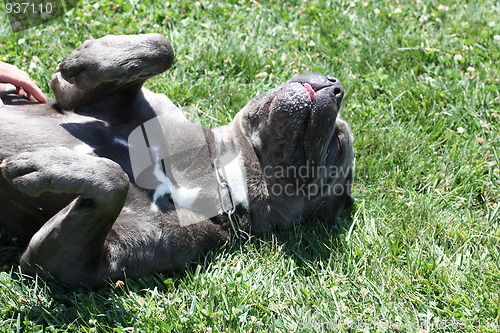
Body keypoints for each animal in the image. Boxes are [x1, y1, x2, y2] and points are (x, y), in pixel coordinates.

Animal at [0, 34, 354, 288]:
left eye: (337, 143)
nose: (337, 85)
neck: (218, 172)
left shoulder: (72, 263)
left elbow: (115, 180)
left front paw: (51, 166)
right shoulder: (76, 97)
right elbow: (162, 46)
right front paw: (87, 58)